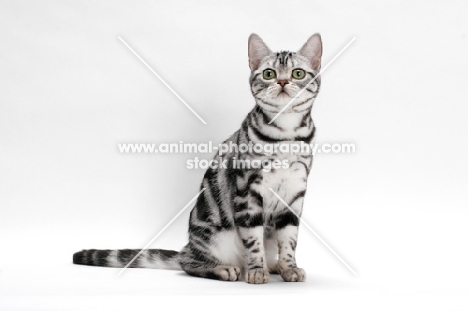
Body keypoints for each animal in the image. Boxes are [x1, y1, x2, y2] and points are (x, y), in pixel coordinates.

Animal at [74, 34, 322, 286]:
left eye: (297, 73)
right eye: (269, 73)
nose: (282, 82)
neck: (286, 133)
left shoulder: (294, 194)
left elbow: (289, 240)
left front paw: (289, 268)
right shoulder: (248, 191)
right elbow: (253, 240)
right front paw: (256, 271)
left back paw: (274, 266)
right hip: (215, 238)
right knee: (188, 261)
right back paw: (226, 269)